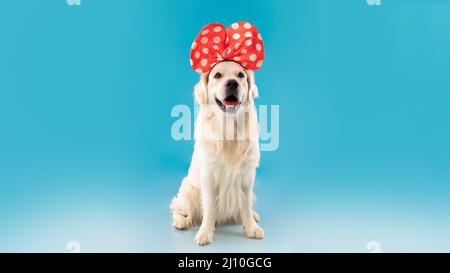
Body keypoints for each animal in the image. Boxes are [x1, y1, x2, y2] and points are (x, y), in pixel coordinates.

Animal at [171, 60, 264, 244]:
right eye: (217, 75)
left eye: (240, 75)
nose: (232, 83)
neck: (229, 129)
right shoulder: (208, 175)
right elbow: (210, 207)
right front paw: (205, 232)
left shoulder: (248, 175)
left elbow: (245, 204)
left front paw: (251, 227)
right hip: (188, 190)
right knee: (177, 207)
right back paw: (180, 221)